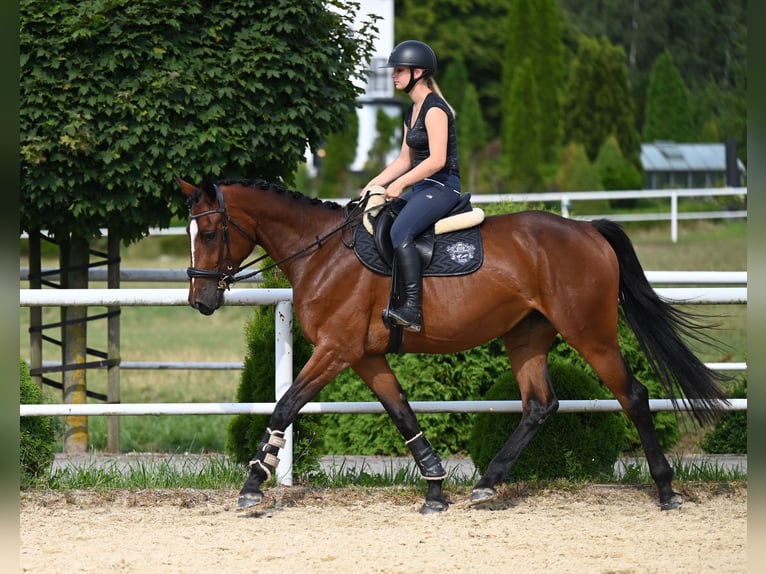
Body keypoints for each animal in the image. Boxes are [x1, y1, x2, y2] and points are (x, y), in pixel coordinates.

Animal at [177, 178, 728, 516]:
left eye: (211, 231)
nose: (200, 300)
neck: (324, 253)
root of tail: (586, 229)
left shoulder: (336, 350)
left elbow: (285, 405)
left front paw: (254, 482)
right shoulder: (365, 355)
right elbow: (402, 414)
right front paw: (436, 487)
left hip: (589, 333)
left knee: (632, 395)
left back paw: (666, 489)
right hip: (526, 335)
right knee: (539, 405)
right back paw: (486, 483)